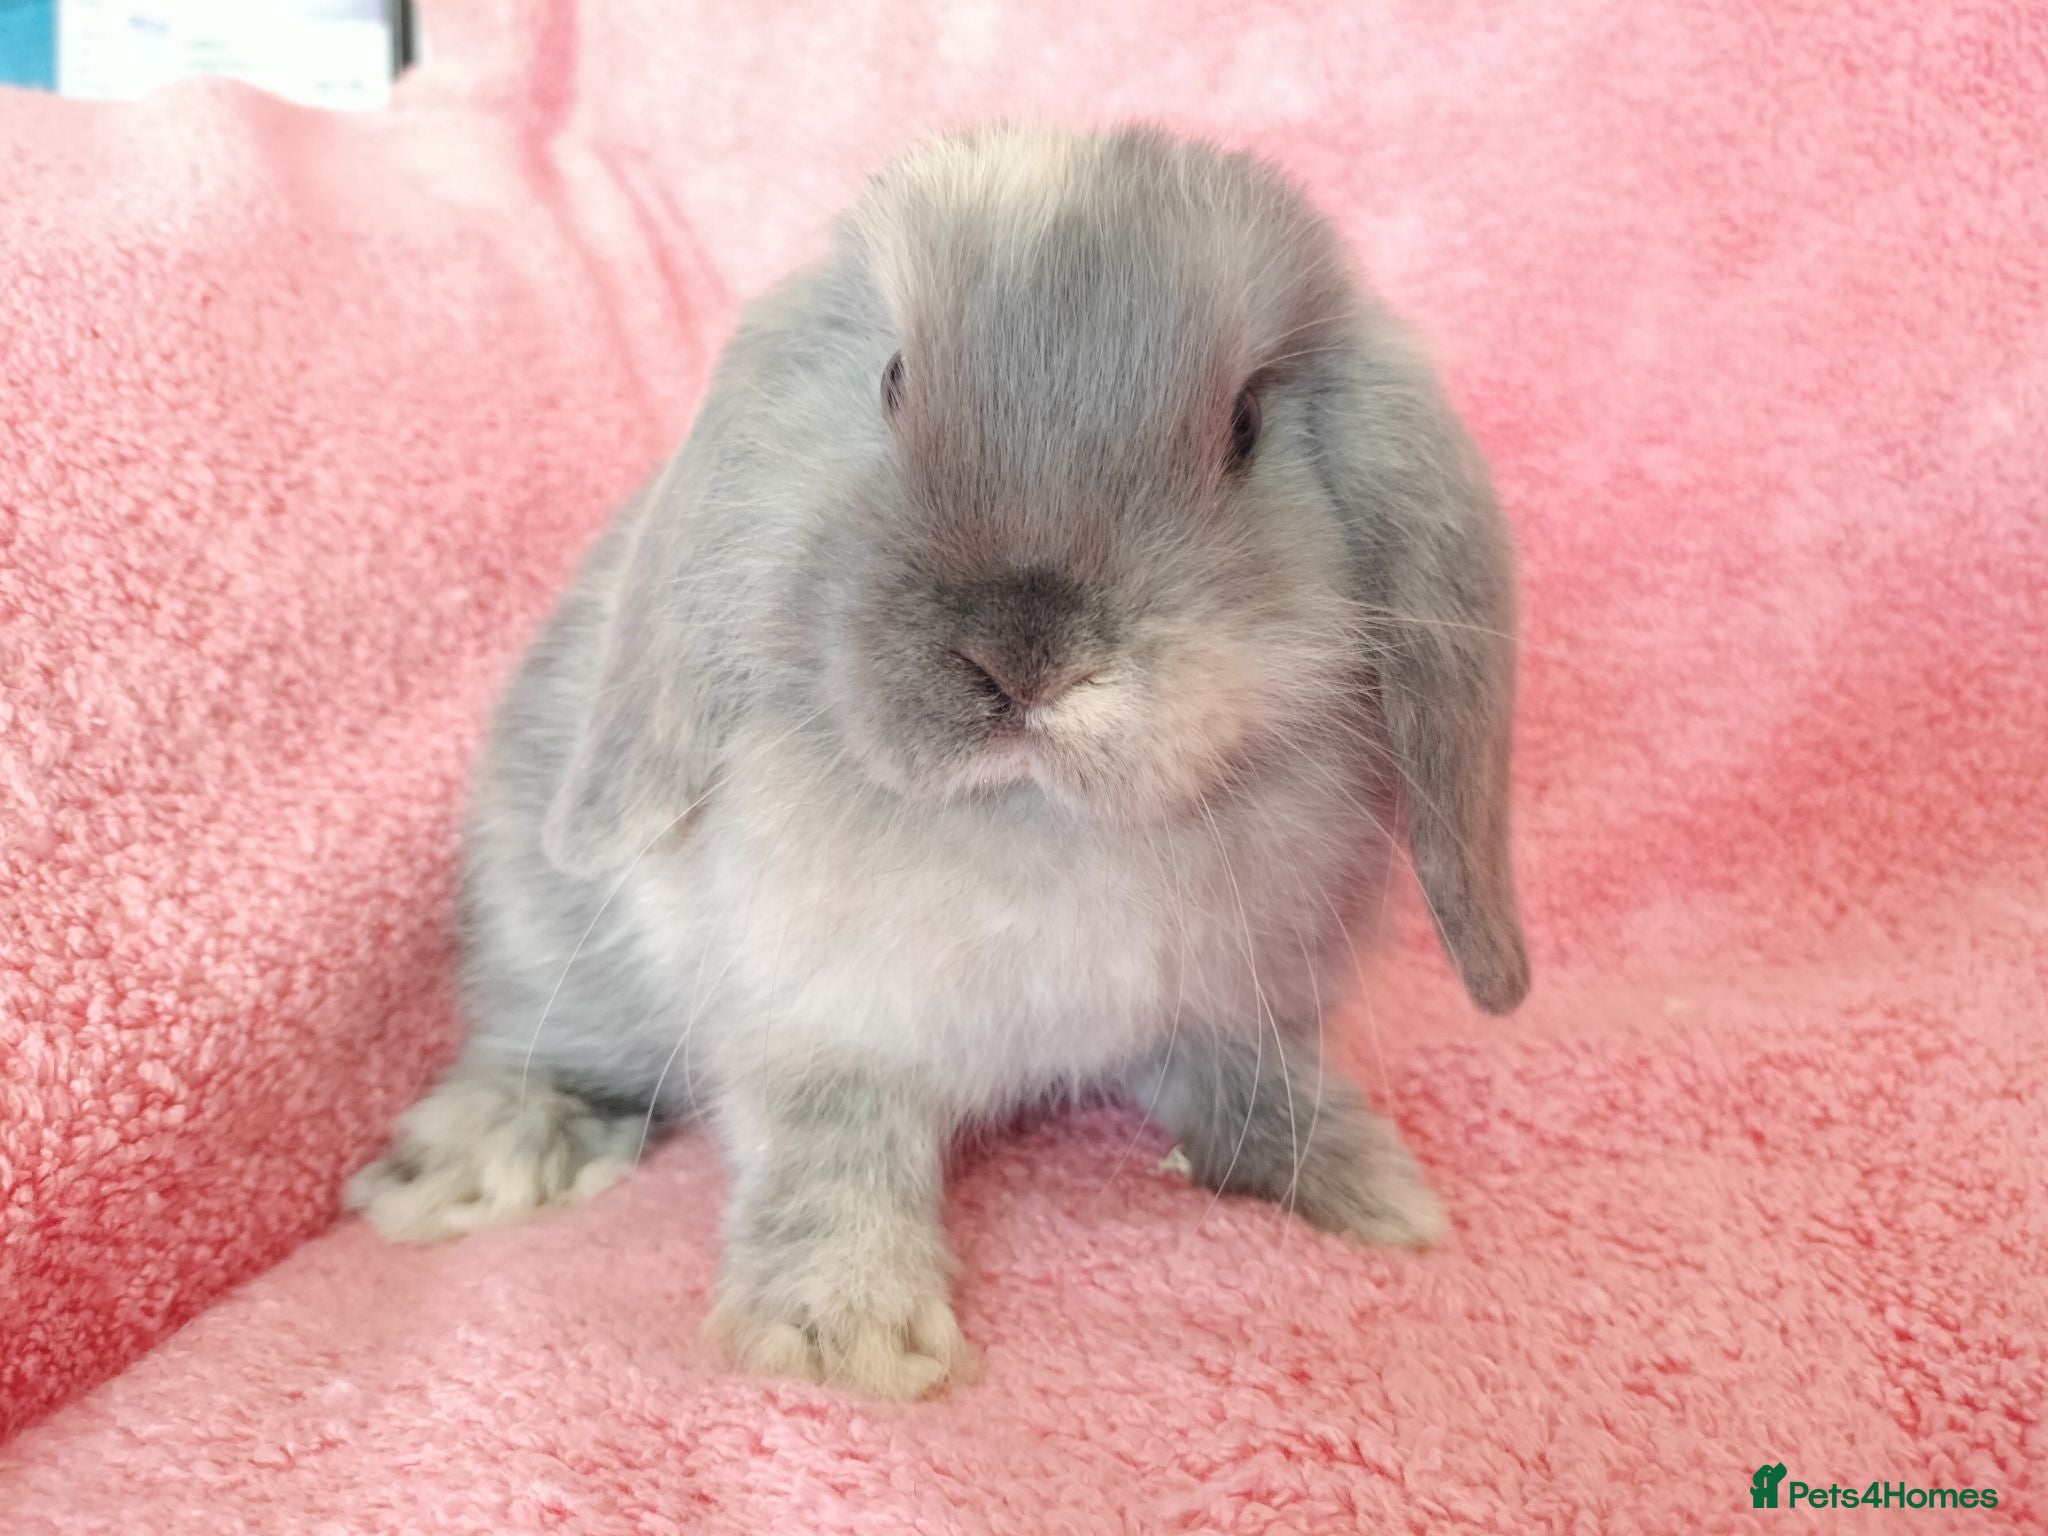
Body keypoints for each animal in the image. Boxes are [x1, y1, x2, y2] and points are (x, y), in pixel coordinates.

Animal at [347, 124, 1530, 1400]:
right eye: (892, 381)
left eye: (1245, 426)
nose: (1022, 653)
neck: (1034, 820)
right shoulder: (813, 1022)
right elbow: (833, 1150)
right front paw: (844, 1337)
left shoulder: (1235, 1008)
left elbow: (1253, 1085)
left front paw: (1364, 1189)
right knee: (538, 1048)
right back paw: (470, 1166)